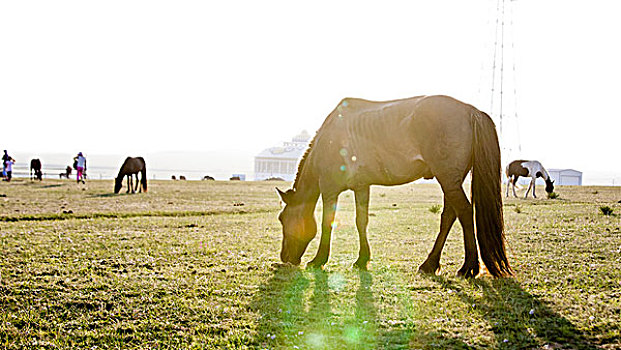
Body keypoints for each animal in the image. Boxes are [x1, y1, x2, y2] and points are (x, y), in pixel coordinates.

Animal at [276, 94, 508, 278]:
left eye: (283, 219)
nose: (285, 257)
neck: (329, 139)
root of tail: (471, 111)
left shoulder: (329, 189)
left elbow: (327, 223)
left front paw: (319, 260)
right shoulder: (362, 187)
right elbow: (361, 221)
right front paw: (362, 260)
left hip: (448, 180)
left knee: (465, 213)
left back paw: (468, 267)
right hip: (451, 181)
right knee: (449, 216)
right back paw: (429, 264)